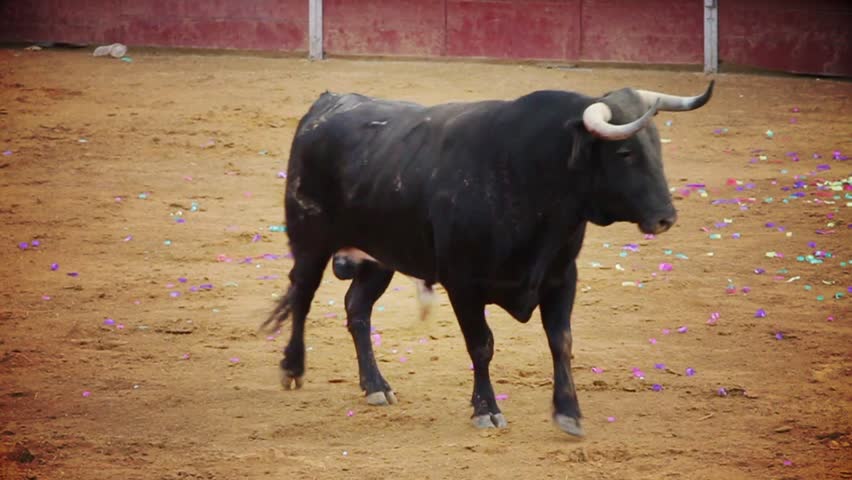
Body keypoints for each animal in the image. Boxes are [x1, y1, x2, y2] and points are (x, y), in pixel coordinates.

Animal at [261, 80, 714, 437]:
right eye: (624, 154)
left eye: (655, 147)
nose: (666, 217)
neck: (532, 176)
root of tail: (325, 105)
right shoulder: (463, 284)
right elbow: (481, 345)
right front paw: (487, 410)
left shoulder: (560, 277)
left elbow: (561, 342)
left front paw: (568, 412)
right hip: (310, 241)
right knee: (303, 296)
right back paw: (292, 368)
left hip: (380, 256)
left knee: (356, 307)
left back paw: (375, 385)